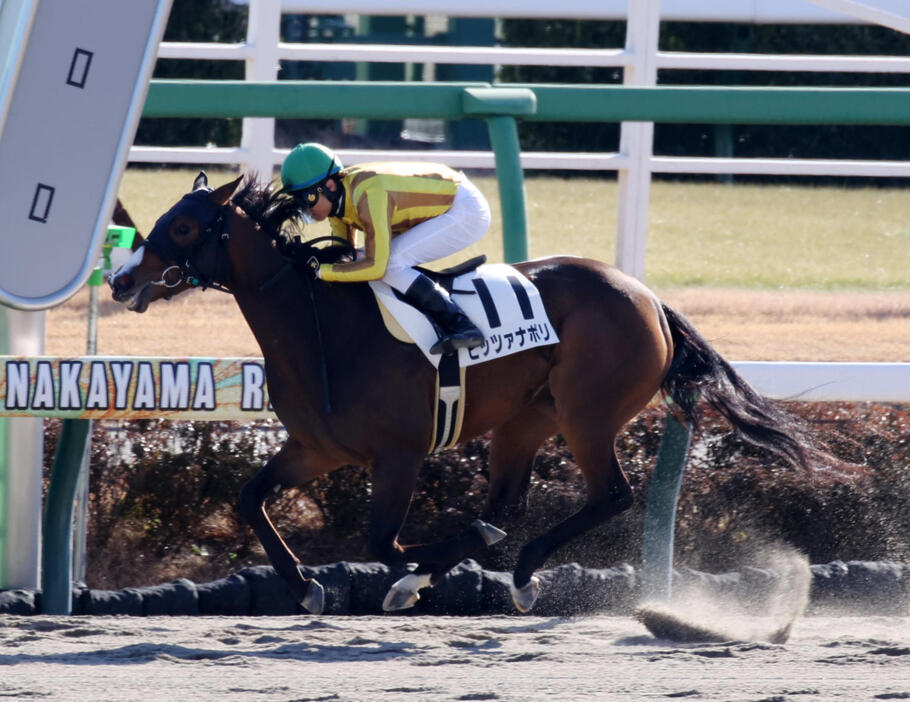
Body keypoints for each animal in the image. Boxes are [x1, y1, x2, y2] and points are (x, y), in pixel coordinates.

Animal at [110, 172, 824, 616]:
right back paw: (498, 562)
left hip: (587, 413)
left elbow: (384, 544)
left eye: (183, 228)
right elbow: (251, 499)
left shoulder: (399, 454)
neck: (323, 330)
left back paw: (521, 570)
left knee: (611, 495)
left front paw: (409, 576)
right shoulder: (317, 448)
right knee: (509, 502)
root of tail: (647, 296)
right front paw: (307, 588)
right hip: (525, 421)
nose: (120, 280)